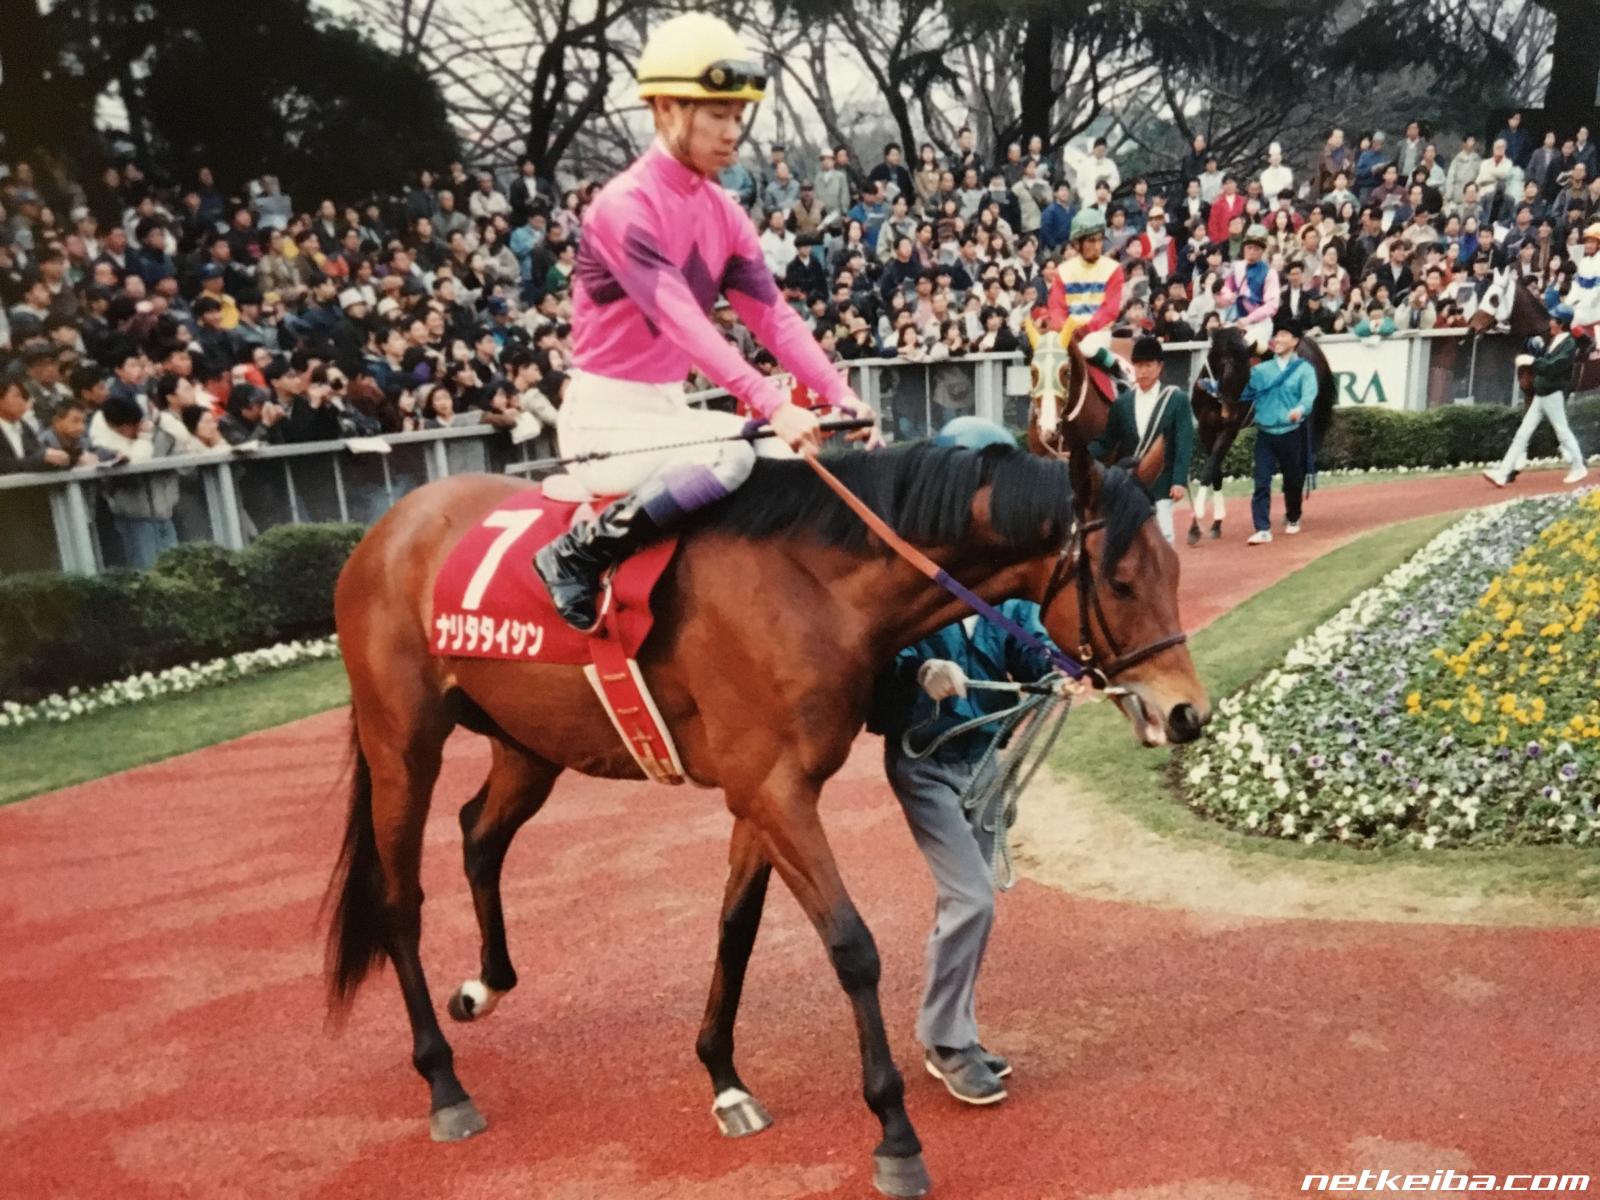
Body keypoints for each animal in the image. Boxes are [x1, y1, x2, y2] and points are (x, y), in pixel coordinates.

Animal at [325, 441, 1209, 1198]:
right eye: (1121, 581)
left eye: (1173, 566)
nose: (1187, 713)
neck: (809, 581)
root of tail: (392, 526)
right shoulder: (775, 788)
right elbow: (852, 947)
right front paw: (894, 1135)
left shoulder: (761, 790)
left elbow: (736, 929)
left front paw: (724, 1079)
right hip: (402, 743)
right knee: (401, 900)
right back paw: (444, 1083)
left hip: (530, 740)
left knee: (479, 831)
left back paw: (485, 985)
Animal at [1185, 326, 1336, 544]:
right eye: (1229, 371)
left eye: (1247, 377)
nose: (1229, 413)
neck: (1213, 397)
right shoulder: (1206, 428)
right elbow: (1215, 472)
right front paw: (1213, 524)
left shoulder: (1229, 429)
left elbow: (1208, 470)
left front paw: (1196, 524)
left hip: (1307, 423)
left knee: (1299, 465)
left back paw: (1292, 514)